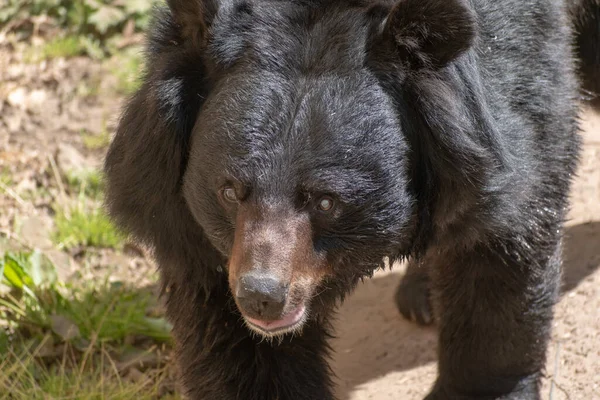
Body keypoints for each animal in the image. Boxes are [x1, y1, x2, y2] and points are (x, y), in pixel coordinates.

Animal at [103, 0, 592, 396]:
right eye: (229, 191)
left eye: (325, 201)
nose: (261, 297)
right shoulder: (191, 225)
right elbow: (231, 336)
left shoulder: (517, 74)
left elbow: (500, 250)